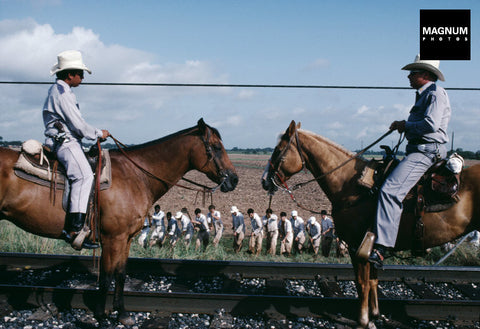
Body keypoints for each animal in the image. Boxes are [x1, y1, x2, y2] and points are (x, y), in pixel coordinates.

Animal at [0, 117, 239, 322]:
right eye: (216, 147)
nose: (234, 179)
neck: (136, 175)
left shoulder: (126, 239)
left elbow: (121, 274)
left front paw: (122, 313)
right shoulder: (112, 239)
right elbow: (105, 278)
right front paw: (101, 316)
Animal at [262, 119, 480, 326]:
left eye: (279, 150)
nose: (264, 181)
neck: (351, 185)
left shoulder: (357, 247)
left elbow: (362, 283)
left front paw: (363, 320)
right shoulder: (373, 247)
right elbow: (374, 281)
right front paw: (375, 314)